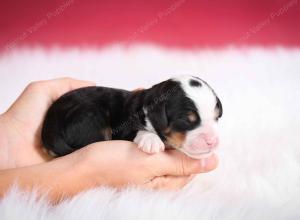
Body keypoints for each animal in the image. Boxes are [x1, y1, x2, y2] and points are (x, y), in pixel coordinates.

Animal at [41, 75, 221, 158]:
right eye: (186, 121)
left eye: (217, 117)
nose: (212, 141)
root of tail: (49, 123)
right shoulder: (123, 127)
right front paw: (152, 140)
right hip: (90, 116)